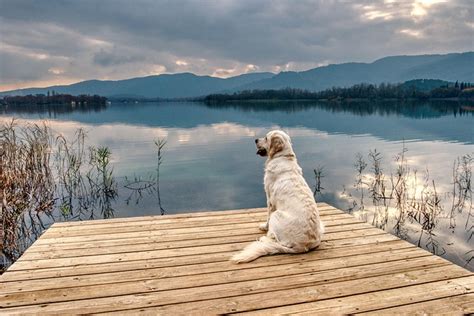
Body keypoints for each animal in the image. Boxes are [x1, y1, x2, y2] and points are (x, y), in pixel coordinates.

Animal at [231, 130, 324, 262]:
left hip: (277, 215)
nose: (255, 140)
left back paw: (264, 238)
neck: (283, 157)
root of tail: (302, 247)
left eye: (266, 138)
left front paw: (264, 227)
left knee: (275, 239)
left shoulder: (269, 199)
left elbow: (267, 217)